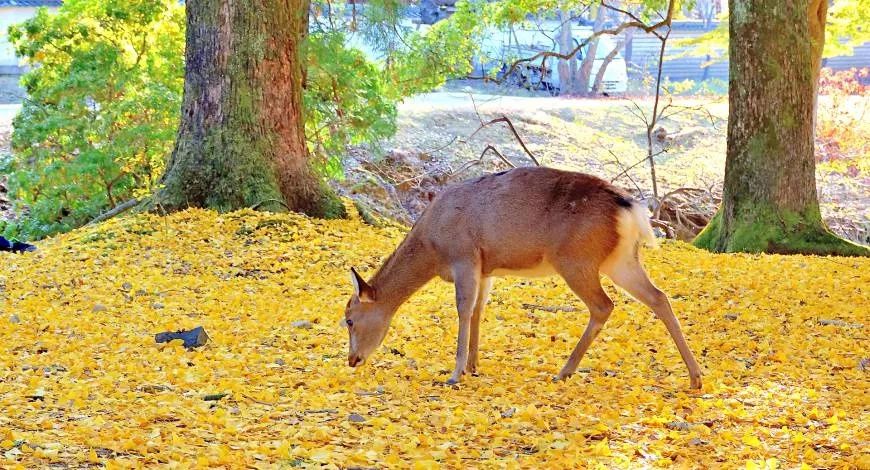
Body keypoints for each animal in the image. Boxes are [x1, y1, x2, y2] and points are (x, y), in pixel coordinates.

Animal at [344, 166, 704, 390]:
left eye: (348, 318)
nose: (351, 360)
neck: (433, 248)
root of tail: (633, 210)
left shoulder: (464, 255)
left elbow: (463, 309)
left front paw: (455, 373)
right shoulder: (485, 267)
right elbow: (479, 310)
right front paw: (473, 365)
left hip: (576, 259)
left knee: (604, 305)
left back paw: (564, 371)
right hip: (621, 259)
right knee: (658, 296)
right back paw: (695, 376)